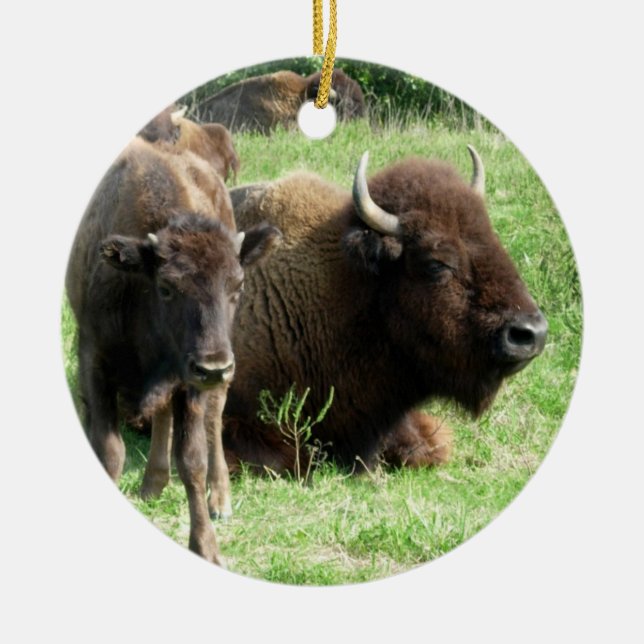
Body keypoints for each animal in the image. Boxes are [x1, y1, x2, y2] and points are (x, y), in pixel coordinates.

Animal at [66, 112, 281, 564]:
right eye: (166, 287)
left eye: (237, 285)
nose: (214, 366)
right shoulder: (94, 361)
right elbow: (110, 451)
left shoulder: (191, 383)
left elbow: (193, 460)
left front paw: (207, 549)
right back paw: (152, 483)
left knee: (213, 420)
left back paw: (220, 499)